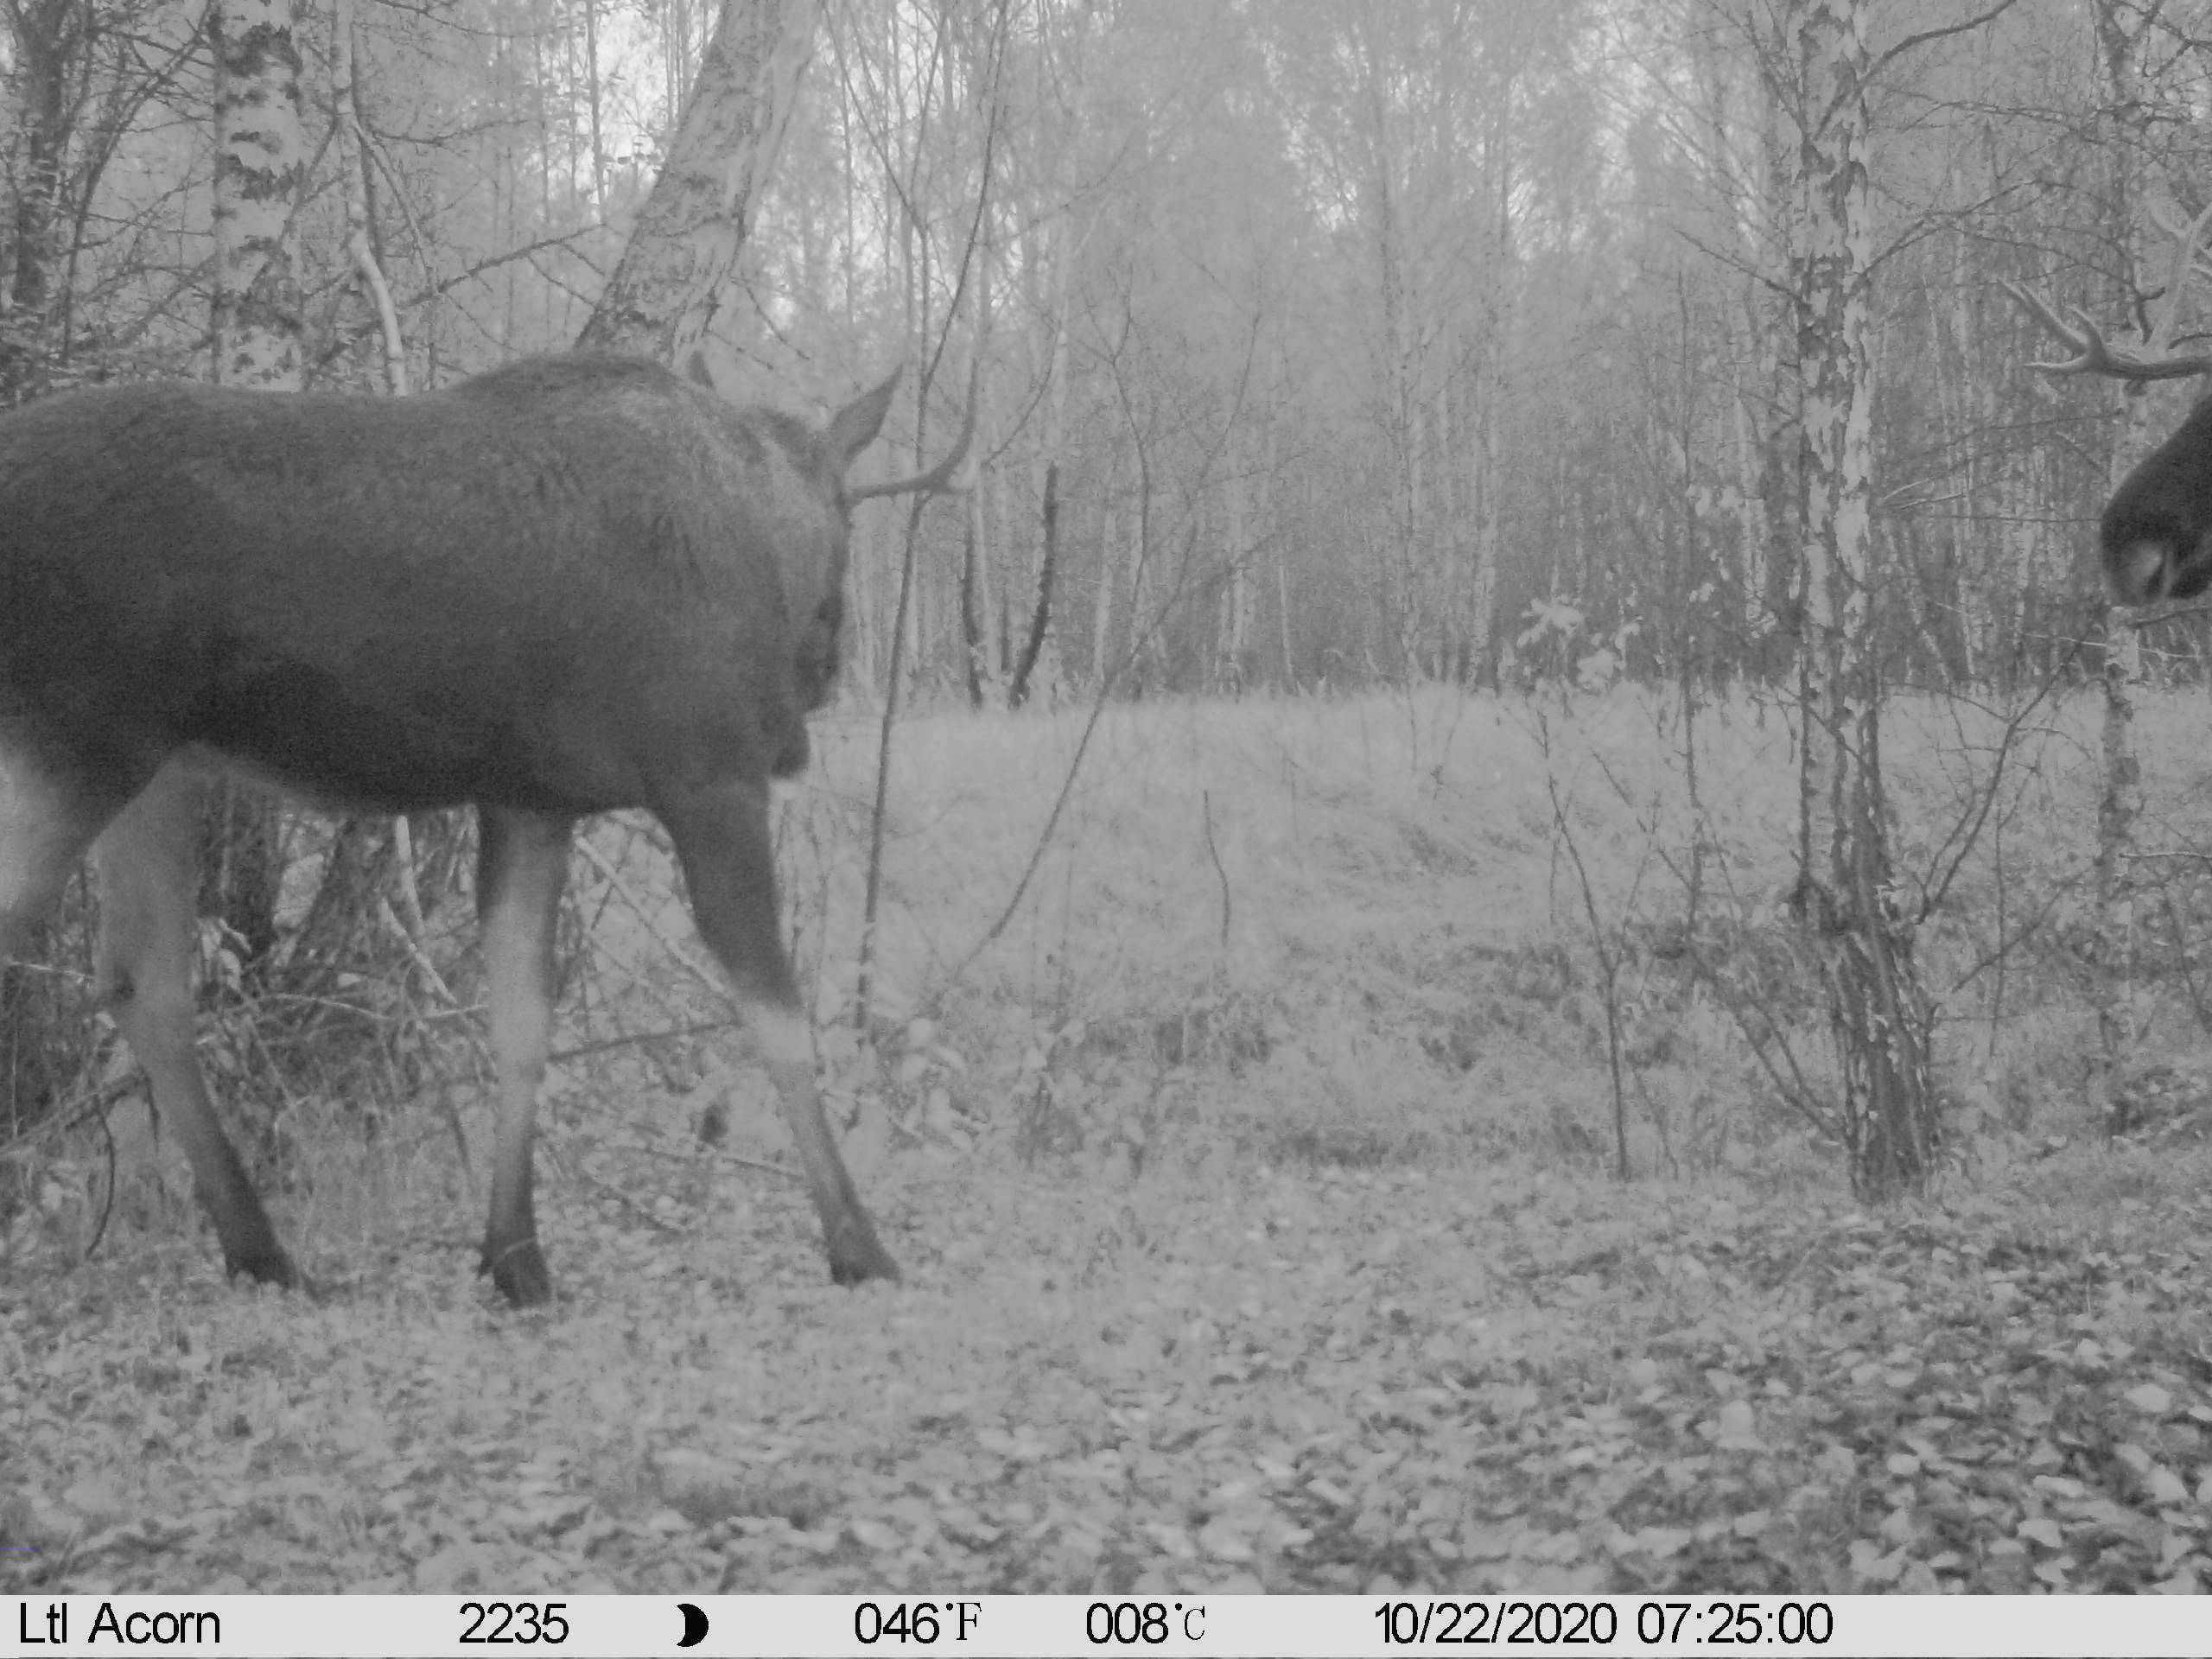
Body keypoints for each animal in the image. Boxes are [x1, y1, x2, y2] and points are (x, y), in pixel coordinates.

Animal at [0, 352, 969, 1306]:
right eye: (847, 518)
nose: (822, 675)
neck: (772, 537)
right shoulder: (710, 778)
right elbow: (782, 1022)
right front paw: (860, 1246)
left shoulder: (530, 801)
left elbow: (521, 1024)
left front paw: (514, 1255)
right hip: (74, 751)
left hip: (156, 769)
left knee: (144, 981)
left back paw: (265, 1253)